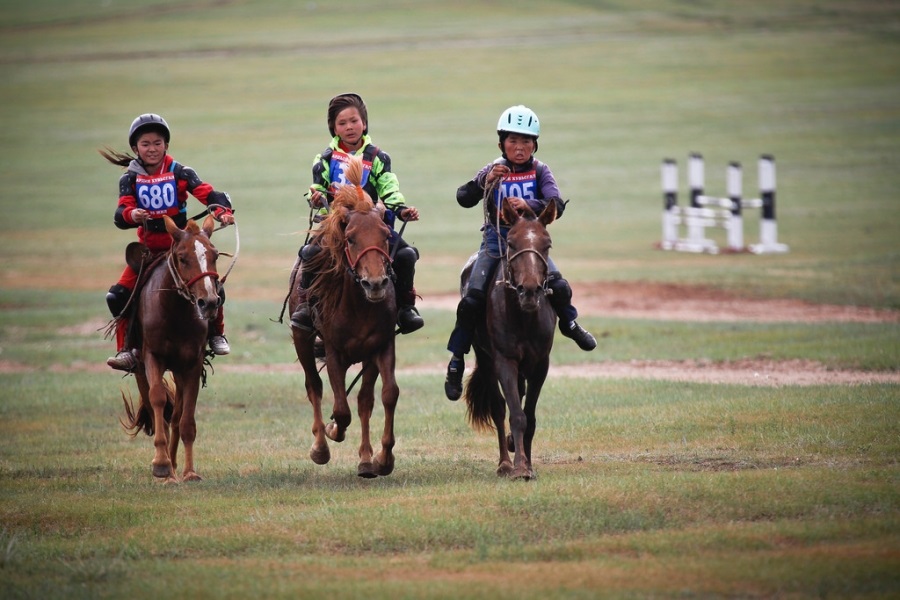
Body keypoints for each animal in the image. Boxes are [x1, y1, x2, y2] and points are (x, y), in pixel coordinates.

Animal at [119, 216, 221, 482]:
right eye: (183, 258)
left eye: (215, 255)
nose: (209, 303)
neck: (175, 312)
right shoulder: (152, 358)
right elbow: (157, 398)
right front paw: (161, 464)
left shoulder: (192, 364)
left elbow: (186, 420)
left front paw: (189, 472)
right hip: (141, 369)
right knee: (156, 407)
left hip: (178, 369)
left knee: (175, 416)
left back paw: (175, 467)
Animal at [290, 156, 400, 478]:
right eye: (350, 239)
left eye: (385, 236)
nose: (375, 283)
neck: (359, 306)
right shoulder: (333, 351)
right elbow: (340, 409)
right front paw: (332, 431)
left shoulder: (381, 347)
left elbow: (384, 396)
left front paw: (380, 460)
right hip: (301, 338)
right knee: (313, 386)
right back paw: (320, 447)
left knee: (363, 401)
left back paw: (365, 459)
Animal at [464, 197, 556, 478]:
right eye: (512, 243)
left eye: (547, 244)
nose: (529, 290)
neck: (524, 317)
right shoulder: (504, 360)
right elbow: (515, 414)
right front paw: (519, 467)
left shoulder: (540, 364)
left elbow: (530, 416)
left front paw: (529, 463)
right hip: (485, 358)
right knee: (498, 407)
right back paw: (505, 462)